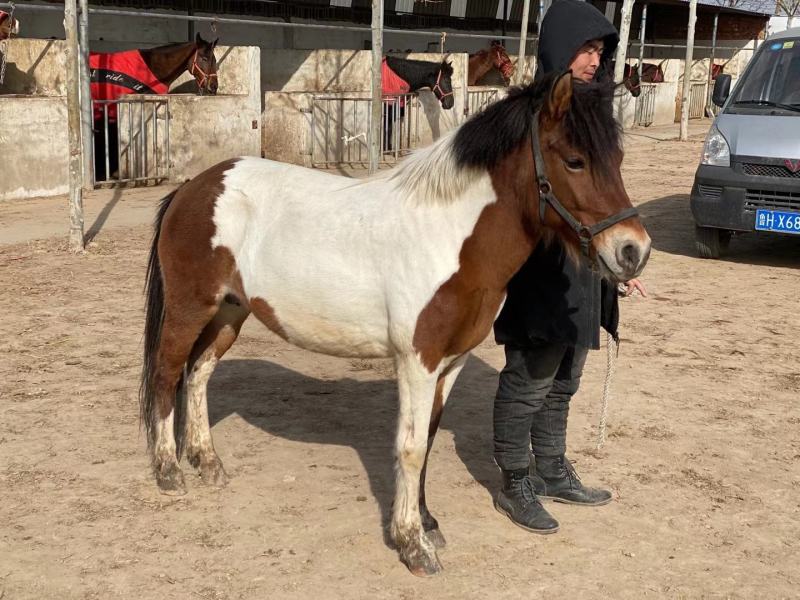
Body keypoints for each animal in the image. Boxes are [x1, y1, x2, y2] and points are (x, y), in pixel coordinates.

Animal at [139, 71, 651, 576]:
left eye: (618, 159)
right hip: (189, 307)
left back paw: (207, 461)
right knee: (167, 374)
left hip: (230, 311)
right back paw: (169, 470)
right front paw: (413, 545)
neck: (449, 235)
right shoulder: (417, 361)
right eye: (575, 161)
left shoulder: (451, 363)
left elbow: (426, 439)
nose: (633, 251)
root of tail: (194, 187)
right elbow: (410, 447)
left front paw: (427, 523)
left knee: (198, 373)